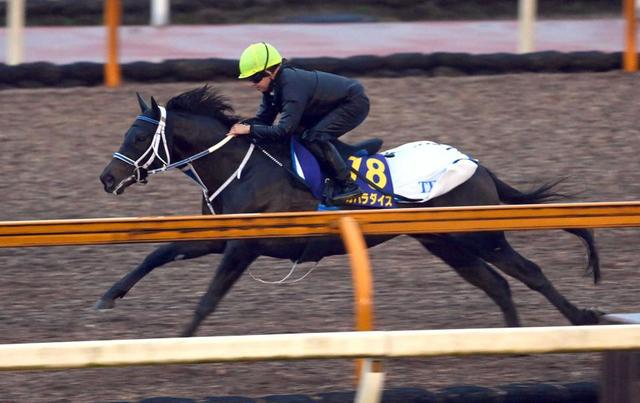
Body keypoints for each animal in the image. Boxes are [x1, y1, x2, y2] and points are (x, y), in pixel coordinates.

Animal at [97, 86, 604, 338]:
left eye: (138, 138)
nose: (107, 178)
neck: (242, 166)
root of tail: (478, 165)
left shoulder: (243, 245)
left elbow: (208, 298)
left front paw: (183, 341)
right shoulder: (221, 237)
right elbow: (159, 253)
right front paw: (108, 297)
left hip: (479, 235)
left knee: (529, 271)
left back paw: (581, 319)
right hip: (446, 244)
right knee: (498, 284)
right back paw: (512, 339)